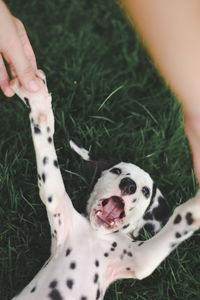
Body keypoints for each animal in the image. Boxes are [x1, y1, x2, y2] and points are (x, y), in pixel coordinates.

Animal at [10, 71, 200, 298]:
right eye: (117, 171)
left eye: (146, 191)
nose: (128, 185)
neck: (95, 234)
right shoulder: (56, 199)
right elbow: (45, 137)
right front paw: (37, 100)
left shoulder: (139, 258)